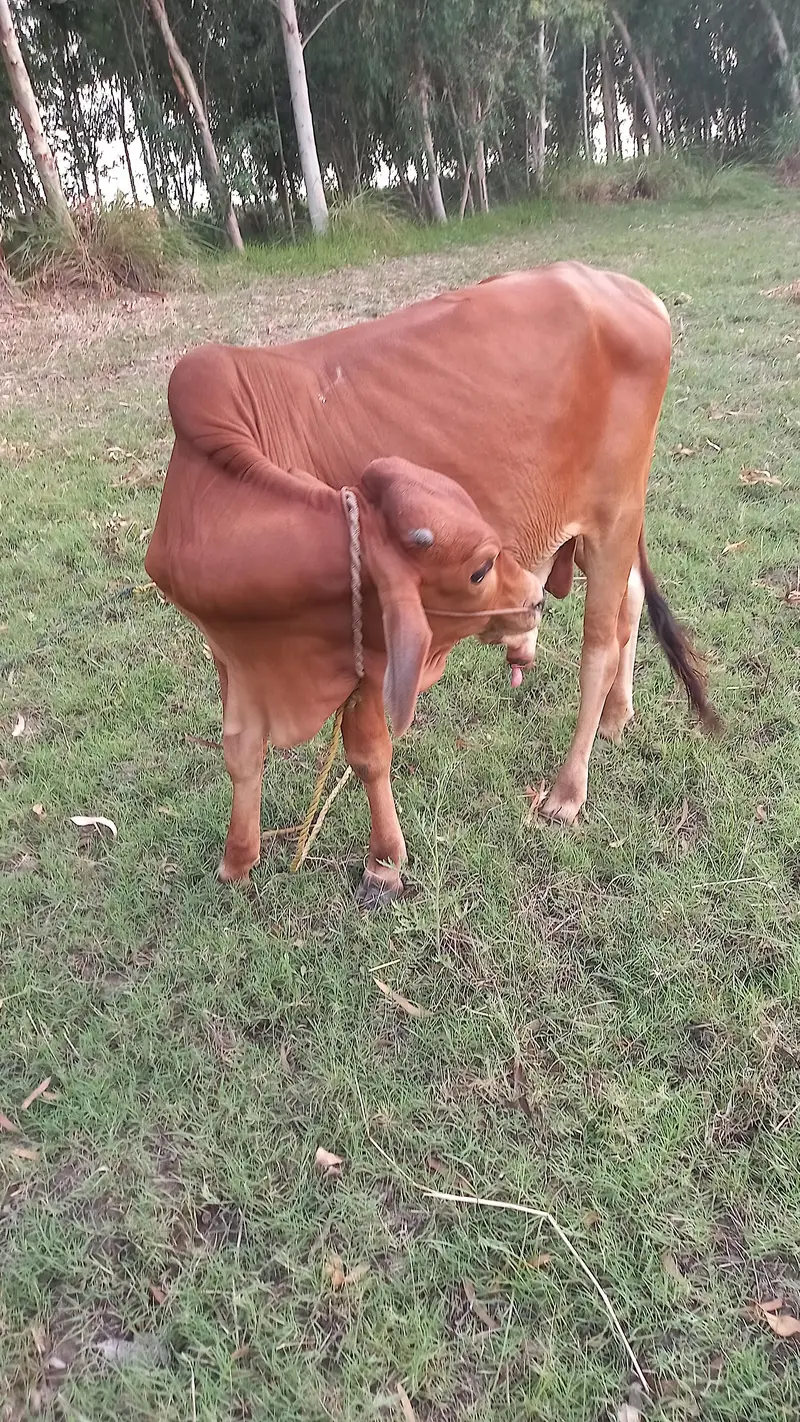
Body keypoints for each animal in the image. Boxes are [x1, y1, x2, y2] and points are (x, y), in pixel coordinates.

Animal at [145, 261, 719, 905]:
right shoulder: (231, 650)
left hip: (614, 515)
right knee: (630, 606)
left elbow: (368, 753)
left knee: (598, 644)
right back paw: (617, 719)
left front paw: (384, 863)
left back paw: (568, 789)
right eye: (479, 568)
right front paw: (237, 861)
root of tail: (628, 289)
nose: (531, 599)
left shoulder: (369, 657)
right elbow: (240, 750)